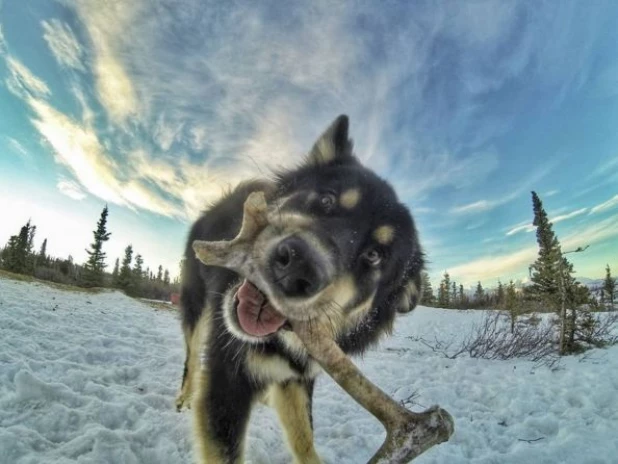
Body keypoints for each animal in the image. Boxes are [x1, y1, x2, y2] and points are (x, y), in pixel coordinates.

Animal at [176, 116, 422, 464]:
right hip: (196, 309)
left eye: (375, 256)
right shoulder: (225, 385)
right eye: (327, 199)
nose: (298, 266)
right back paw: (185, 394)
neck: (278, 343)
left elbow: (304, 438)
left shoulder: (298, 378)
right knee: (191, 356)